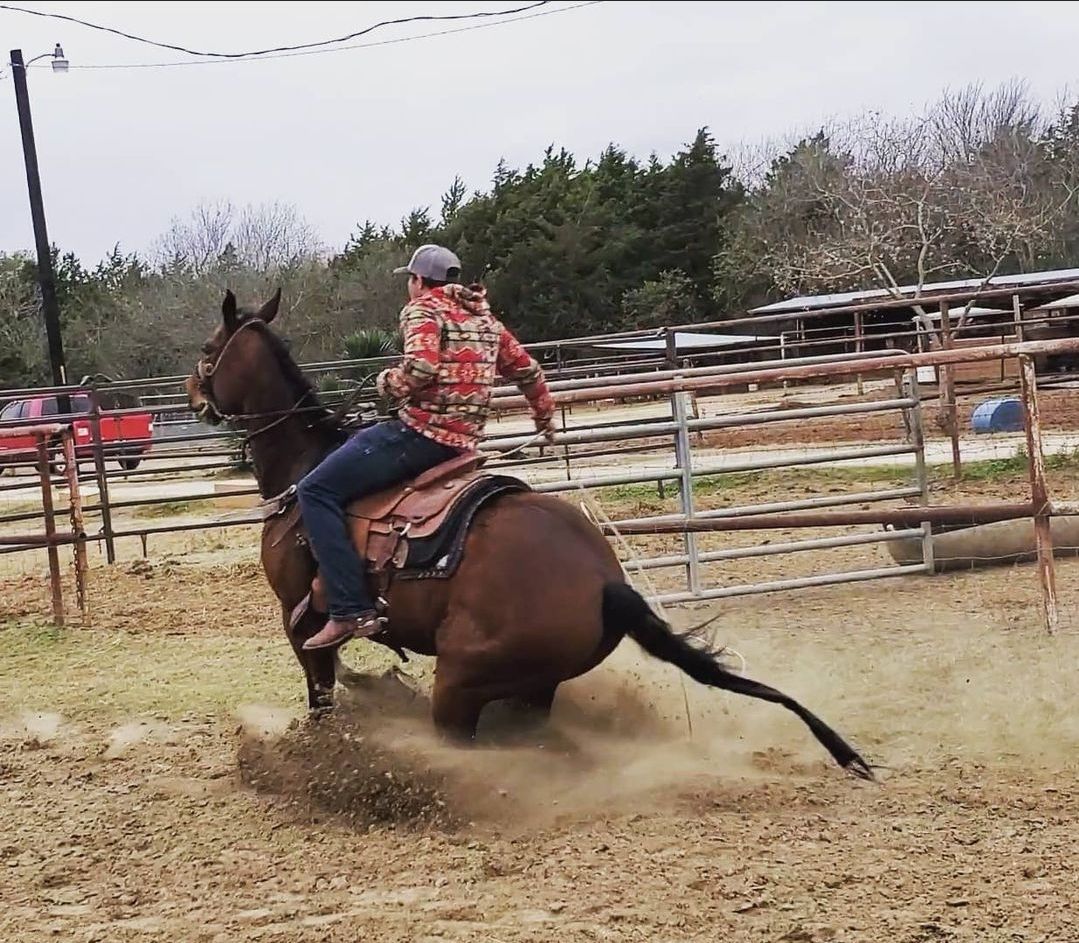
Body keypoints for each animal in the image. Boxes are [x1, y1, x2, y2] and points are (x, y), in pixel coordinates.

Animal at [185, 289, 873, 780]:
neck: (305, 470)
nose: (194, 395)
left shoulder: (298, 618)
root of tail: (605, 584)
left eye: (208, 347)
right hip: (533, 689)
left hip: (462, 681)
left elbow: (321, 691)